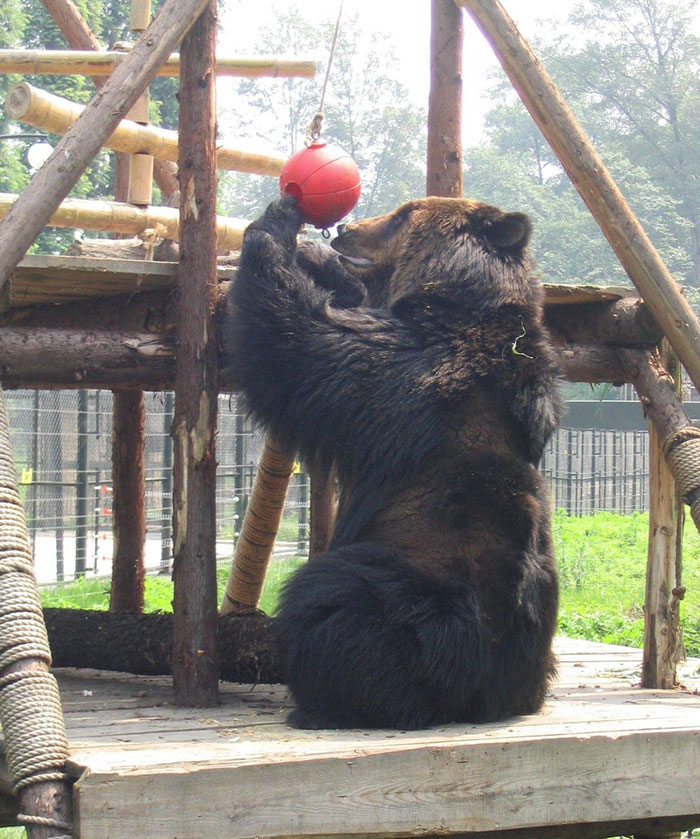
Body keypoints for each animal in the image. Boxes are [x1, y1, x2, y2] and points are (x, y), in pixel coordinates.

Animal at [224, 194, 563, 730]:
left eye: (402, 214)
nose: (345, 227)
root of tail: (481, 689)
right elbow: (345, 304)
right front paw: (314, 255)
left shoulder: (407, 371)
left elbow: (303, 342)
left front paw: (276, 228)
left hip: (414, 593)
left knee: (335, 603)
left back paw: (318, 701)